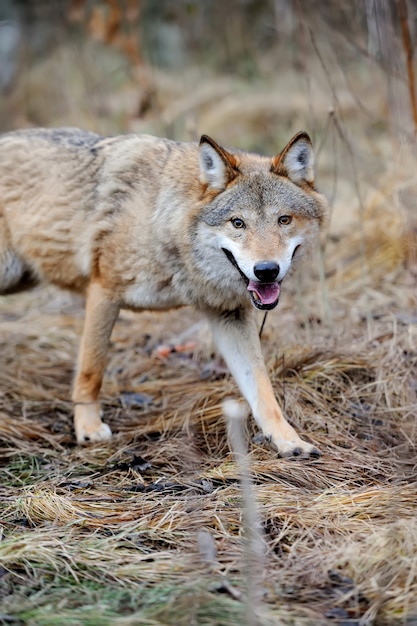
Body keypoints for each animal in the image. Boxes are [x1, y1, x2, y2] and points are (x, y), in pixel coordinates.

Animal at [0, 128, 328, 458]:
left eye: (284, 220)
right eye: (238, 223)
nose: (266, 270)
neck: (163, 221)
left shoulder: (228, 314)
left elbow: (262, 388)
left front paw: (289, 441)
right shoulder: (104, 291)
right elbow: (92, 369)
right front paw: (88, 428)